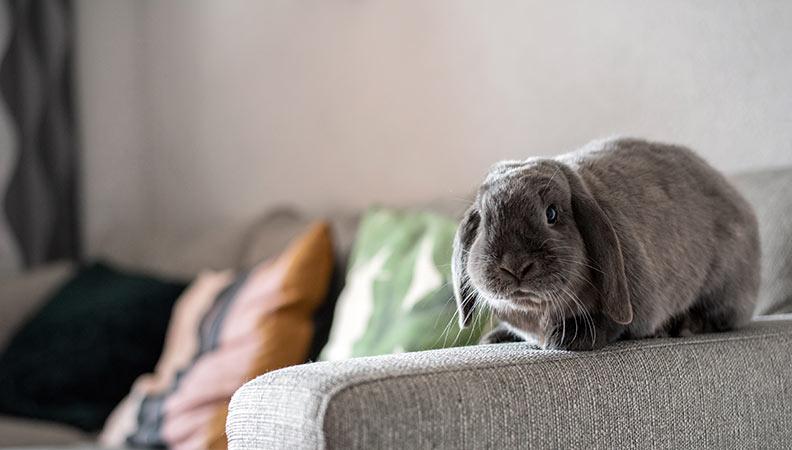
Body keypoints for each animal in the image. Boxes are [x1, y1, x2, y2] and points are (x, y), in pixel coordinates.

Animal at [452, 137, 760, 350]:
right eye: (483, 220)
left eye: (552, 213)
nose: (515, 265)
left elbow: (612, 325)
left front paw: (566, 339)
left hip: (723, 286)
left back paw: (681, 326)